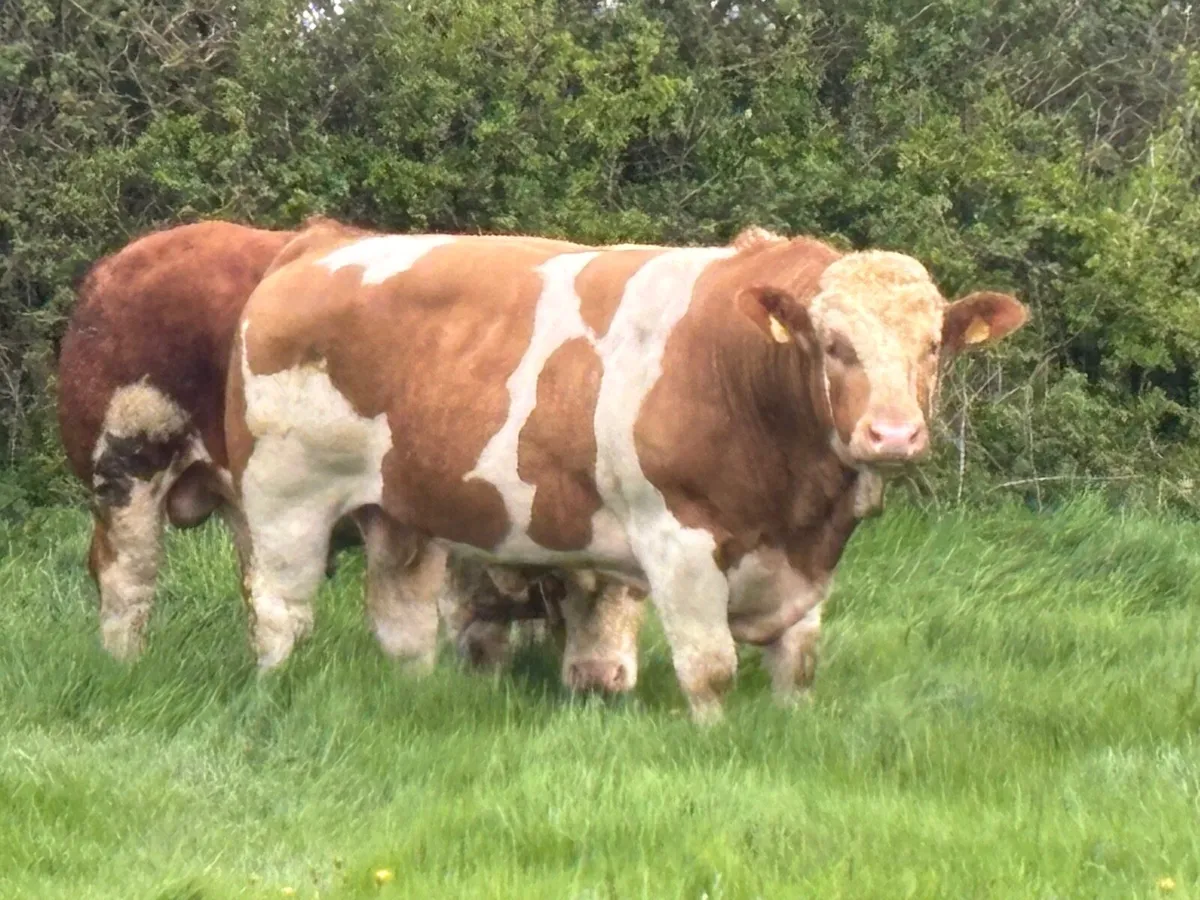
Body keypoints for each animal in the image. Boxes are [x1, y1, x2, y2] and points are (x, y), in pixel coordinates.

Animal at [56, 219, 643, 691]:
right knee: (128, 578)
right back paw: (126, 666)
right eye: (573, 581)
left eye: (638, 591)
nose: (603, 681)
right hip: (127, 465)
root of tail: (120, 261)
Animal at [226, 221, 1027, 720]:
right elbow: (710, 668)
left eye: (933, 347)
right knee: (280, 613)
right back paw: (269, 693)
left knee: (403, 625)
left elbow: (796, 665)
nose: (893, 434)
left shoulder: (803, 560)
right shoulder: (678, 538)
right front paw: (716, 741)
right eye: (833, 345)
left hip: (400, 512)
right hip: (284, 497)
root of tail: (325, 241)